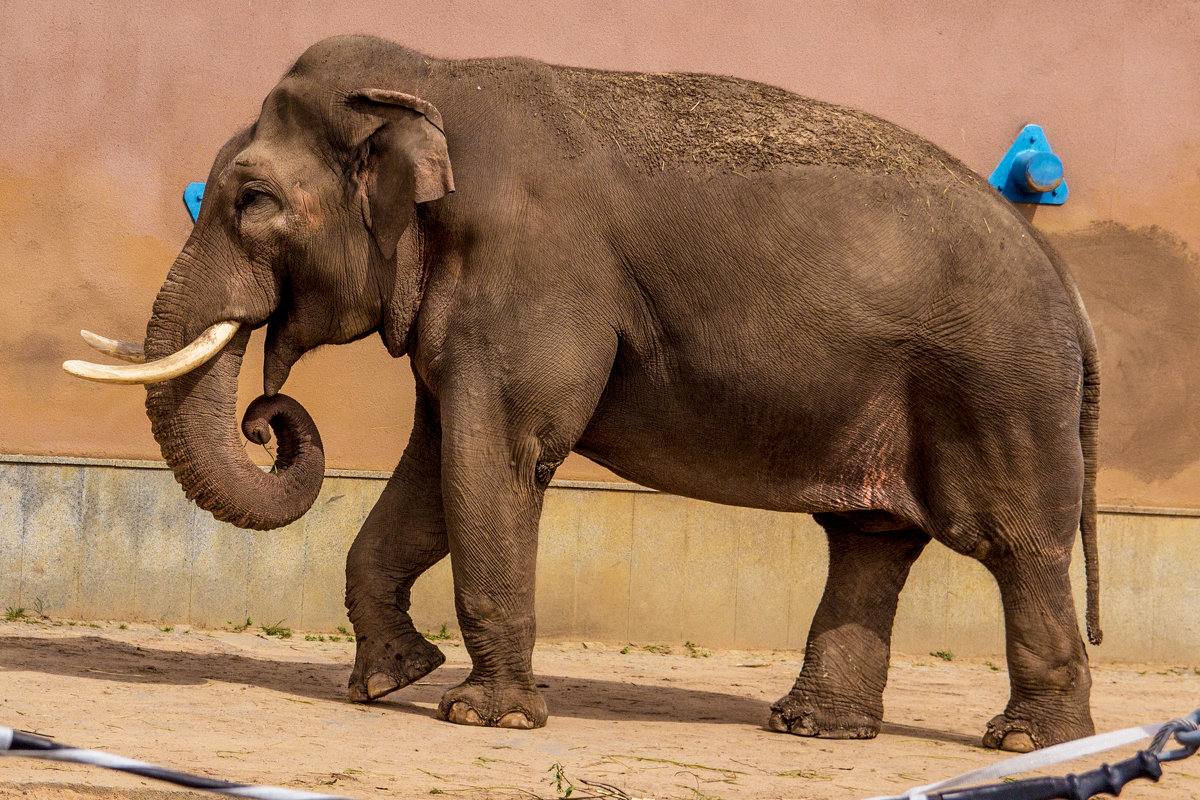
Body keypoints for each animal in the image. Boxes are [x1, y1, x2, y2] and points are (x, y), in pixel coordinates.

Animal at [63, 34, 1099, 753]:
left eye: (250, 201)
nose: (266, 418)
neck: (432, 77)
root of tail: (1064, 280)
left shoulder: (530, 275)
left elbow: (499, 453)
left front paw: (482, 719)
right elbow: (438, 464)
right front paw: (388, 683)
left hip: (998, 383)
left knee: (1013, 541)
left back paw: (1025, 742)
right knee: (872, 540)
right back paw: (813, 728)